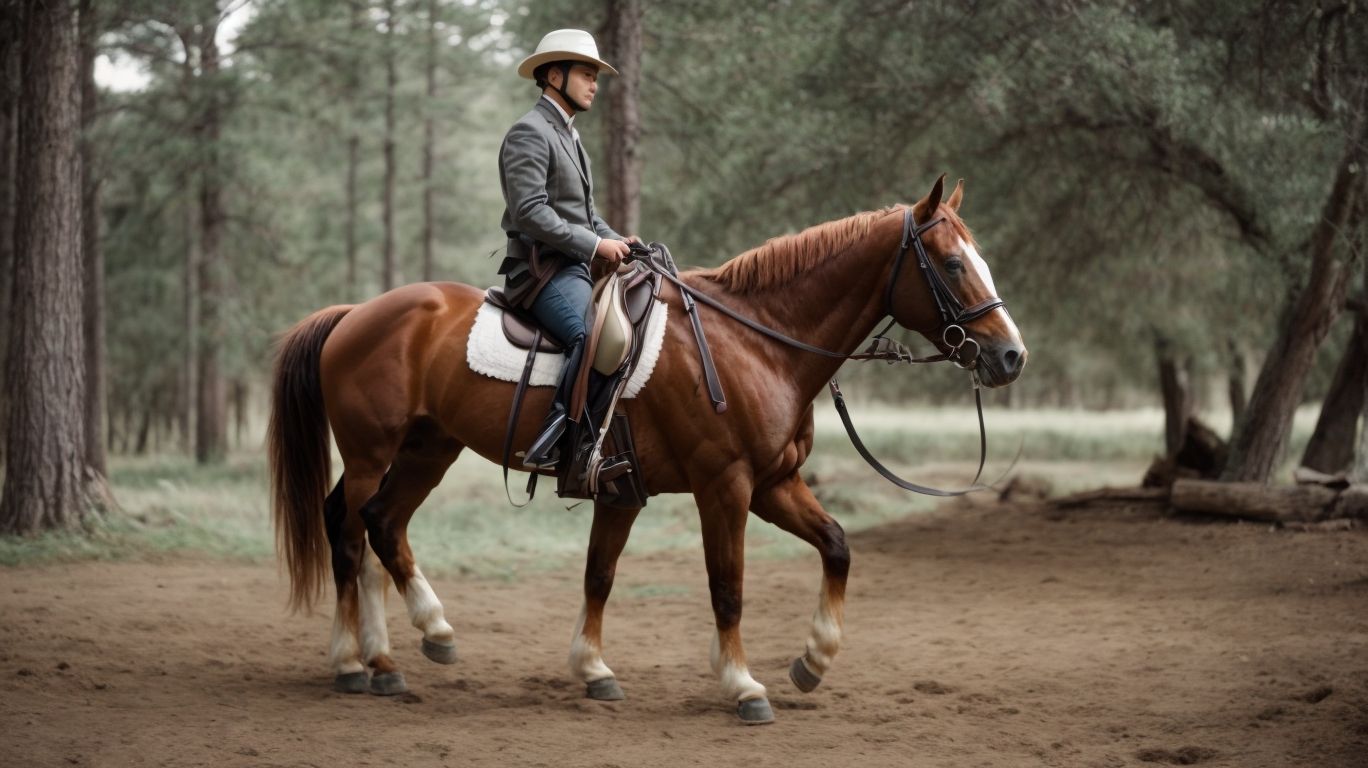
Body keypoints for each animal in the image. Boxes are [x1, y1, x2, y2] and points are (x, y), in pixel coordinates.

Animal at [268, 175, 1027, 724]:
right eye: (952, 264)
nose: (1011, 356)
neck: (755, 343)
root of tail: (354, 314)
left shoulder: (759, 485)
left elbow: (830, 546)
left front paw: (810, 661)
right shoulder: (726, 487)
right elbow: (727, 587)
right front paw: (743, 685)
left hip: (429, 451)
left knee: (381, 526)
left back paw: (390, 655)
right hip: (373, 455)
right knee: (352, 534)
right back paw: (377, 655)